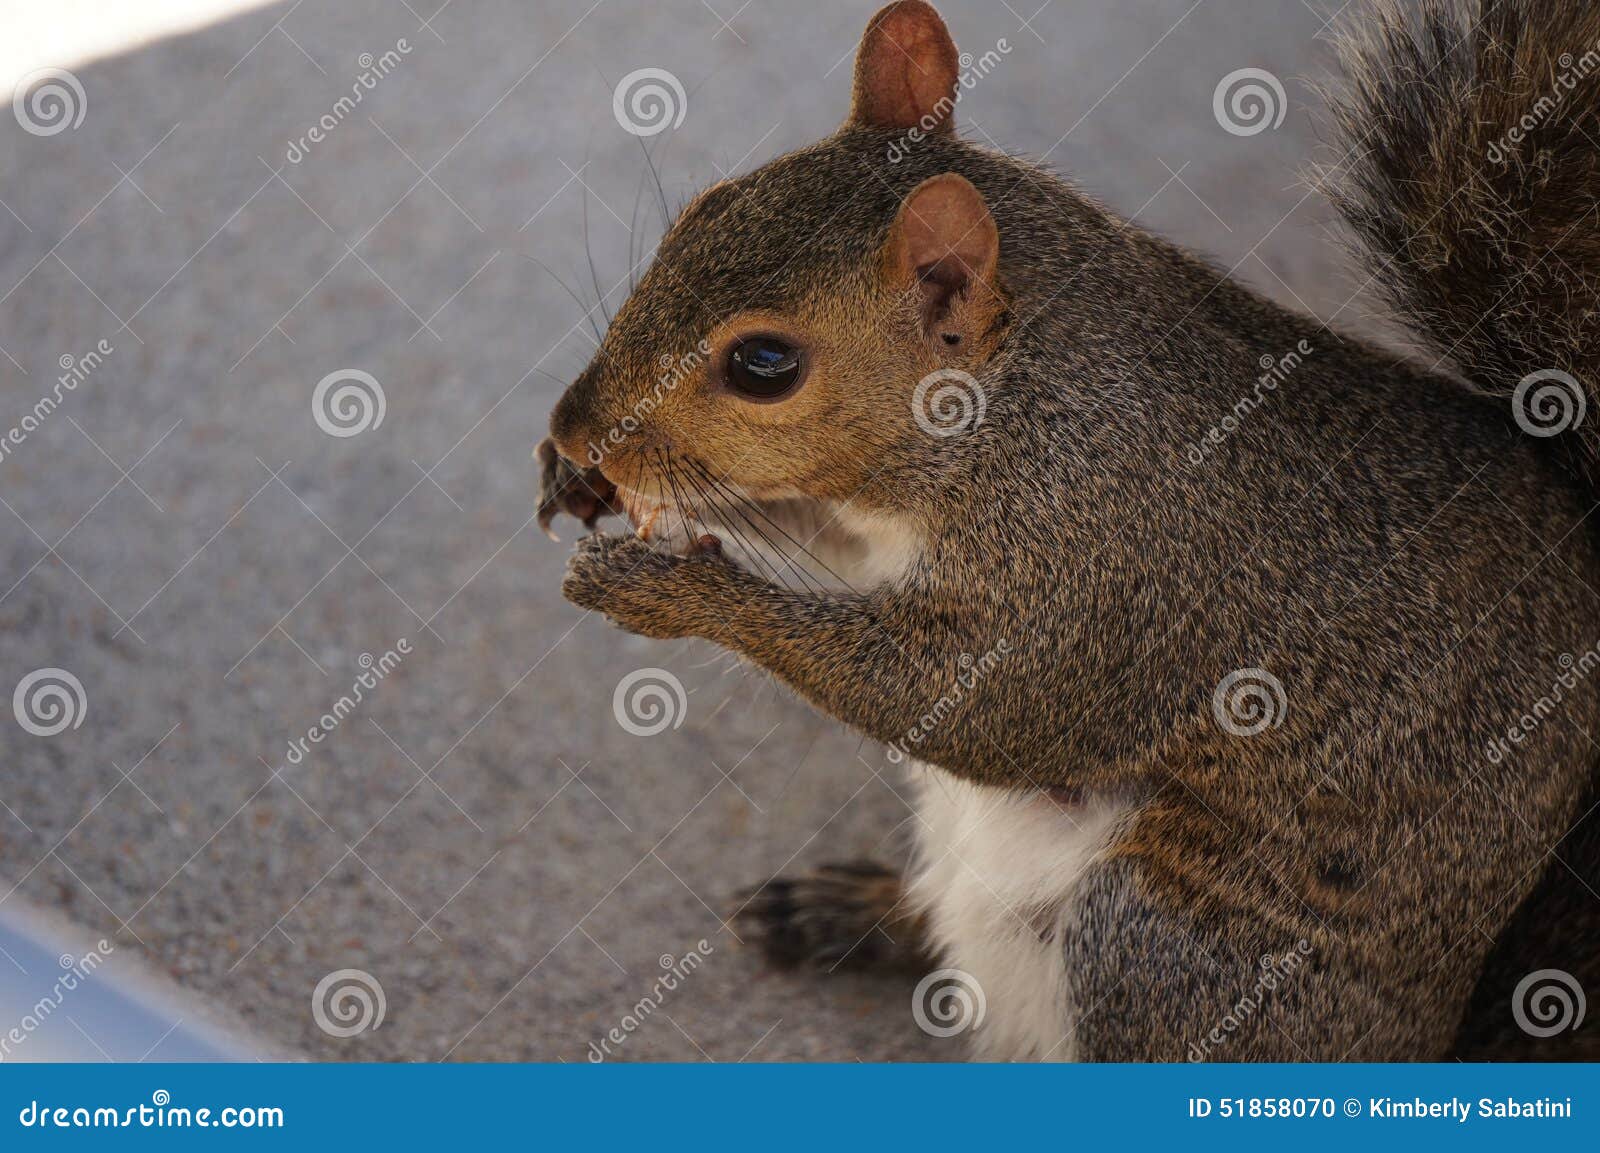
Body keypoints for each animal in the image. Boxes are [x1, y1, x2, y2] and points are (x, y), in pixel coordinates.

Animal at [537, 0, 1600, 1060]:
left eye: (764, 364)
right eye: (700, 212)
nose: (577, 430)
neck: (1013, 406)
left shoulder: (1102, 573)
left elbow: (964, 707)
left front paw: (671, 592)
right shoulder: (876, 523)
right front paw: (579, 483)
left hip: (1168, 945)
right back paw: (853, 911)